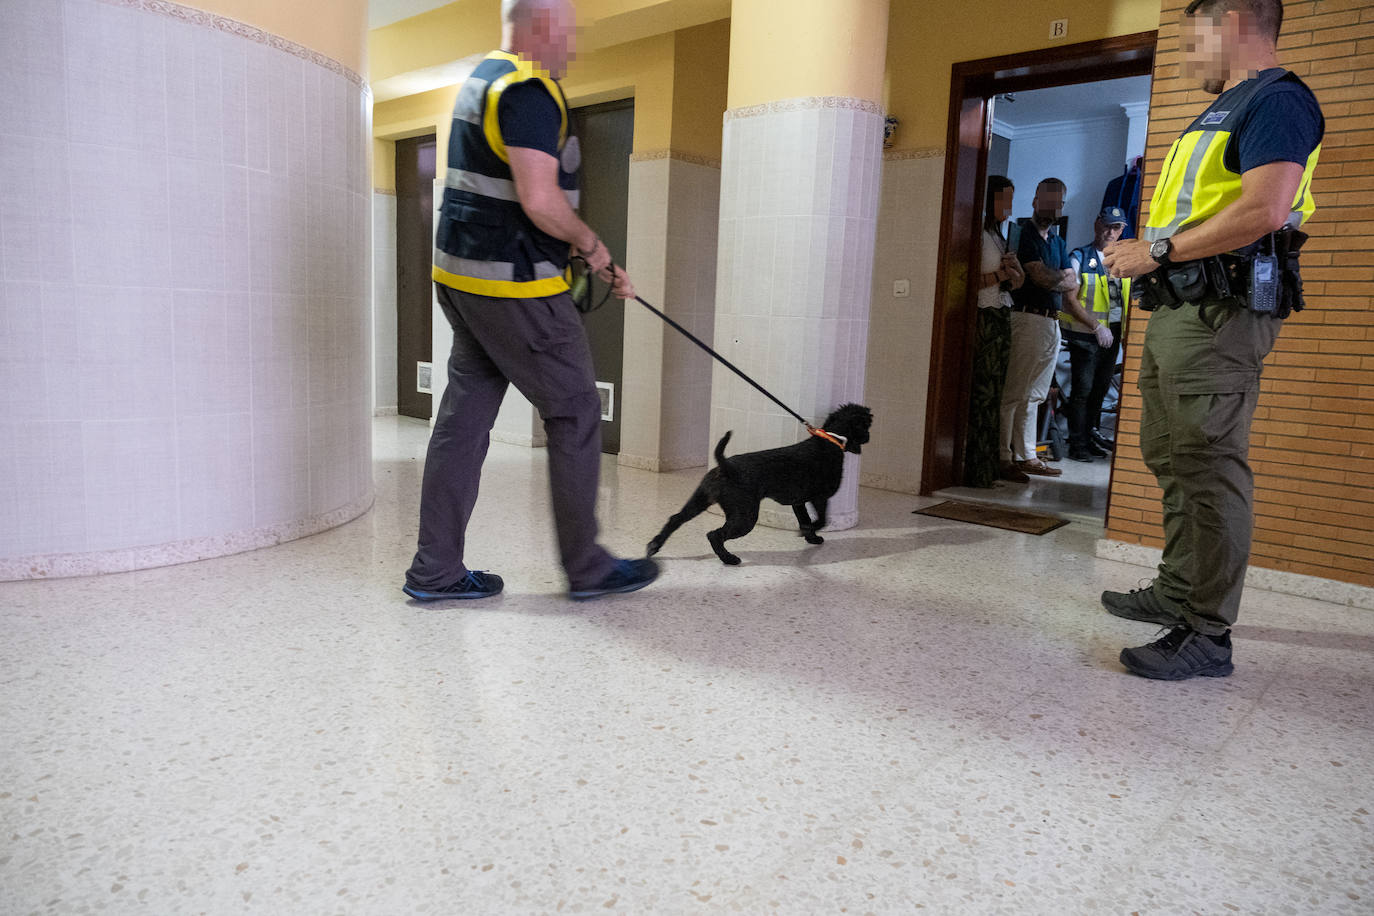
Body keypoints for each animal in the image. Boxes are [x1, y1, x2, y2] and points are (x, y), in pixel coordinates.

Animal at [643, 403, 868, 565]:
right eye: (867, 424)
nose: (867, 437)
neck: (831, 441)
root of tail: (726, 466)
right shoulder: (820, 497)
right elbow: (821, 520)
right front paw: (808, 531)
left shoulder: (799, 502)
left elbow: (806, 520)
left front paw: (810, 536)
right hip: (745, 517)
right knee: (714, 535)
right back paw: (729, 558)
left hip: (701, 500)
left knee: (676, 519)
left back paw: (655, 545)